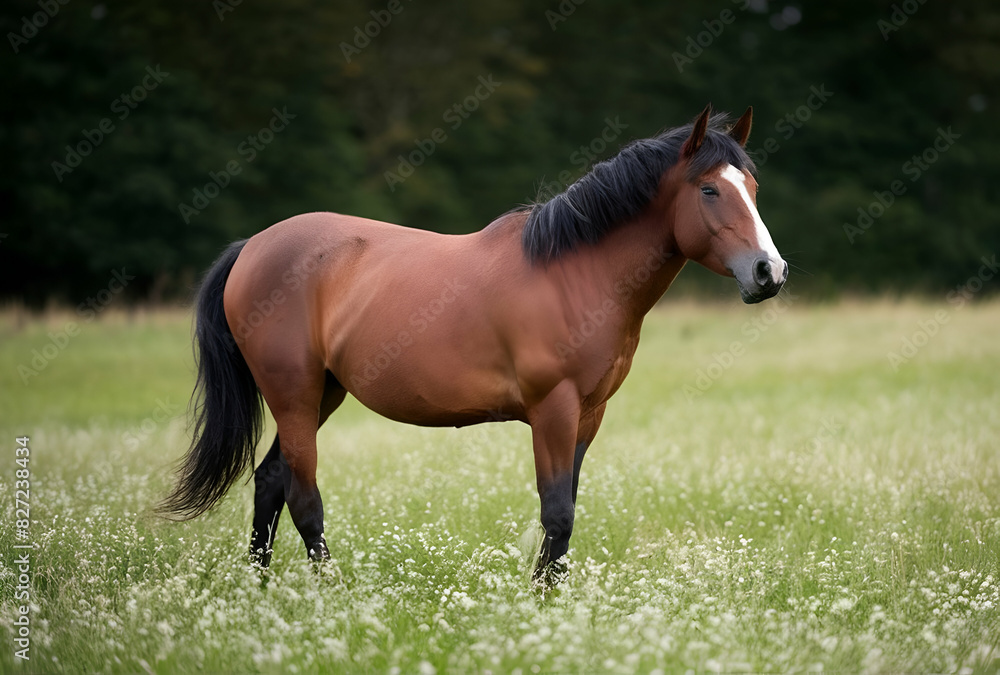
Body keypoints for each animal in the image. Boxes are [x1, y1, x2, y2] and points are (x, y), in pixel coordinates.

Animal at [159, 104, 787, 586]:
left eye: (753, 188)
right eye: (709, 189)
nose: (769, 272)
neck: (575, 273)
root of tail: (251, 248)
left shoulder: (589, 414)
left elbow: (566, 511)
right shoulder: (552, 409)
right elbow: (557, 512)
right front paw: (541, 605)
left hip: (322, 395)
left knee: (270, 482)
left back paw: (262, 589)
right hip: (294, 395)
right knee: (302, 496)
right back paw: (329, 592)